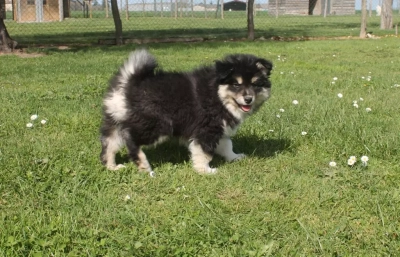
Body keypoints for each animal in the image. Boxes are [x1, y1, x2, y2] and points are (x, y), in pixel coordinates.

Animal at [100, 49, 272, 174]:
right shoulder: (206, 130)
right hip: (158, 125)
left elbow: (227, 145)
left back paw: (112, 167)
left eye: (255, 84)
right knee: (131, 141)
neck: (217, 94)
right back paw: (144, 167)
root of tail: (130, 83)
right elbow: (204, 152)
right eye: (236, 84)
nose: (248, 99)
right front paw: (205, 170)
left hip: (114, 121)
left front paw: (234, 157)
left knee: (110, 143)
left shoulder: (220, 129)